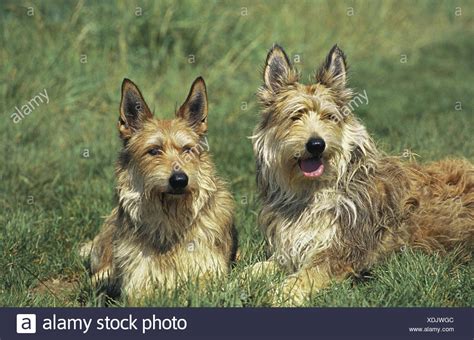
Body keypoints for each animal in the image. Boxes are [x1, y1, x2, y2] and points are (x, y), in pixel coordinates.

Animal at [250, 43, 472, 306]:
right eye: (295, 116)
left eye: (329, 117)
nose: (316, 144)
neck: (312, 192)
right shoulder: (291, 249)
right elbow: (255, 268)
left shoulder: (342, 251)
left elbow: (306, 276)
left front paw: (279, 294)